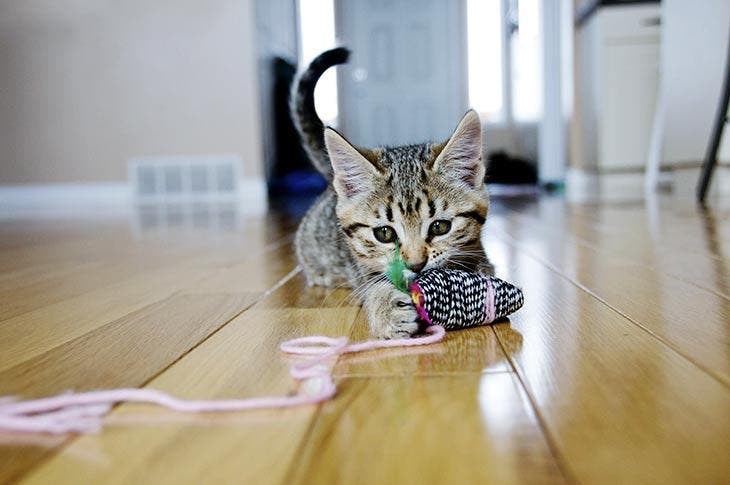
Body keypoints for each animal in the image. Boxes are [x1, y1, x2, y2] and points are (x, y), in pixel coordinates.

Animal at [290, 48, 490, 336]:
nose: (416, 265)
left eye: (440, 227)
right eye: (384, 233)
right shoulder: (363, 269)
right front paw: (387, 308)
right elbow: (374, 283)